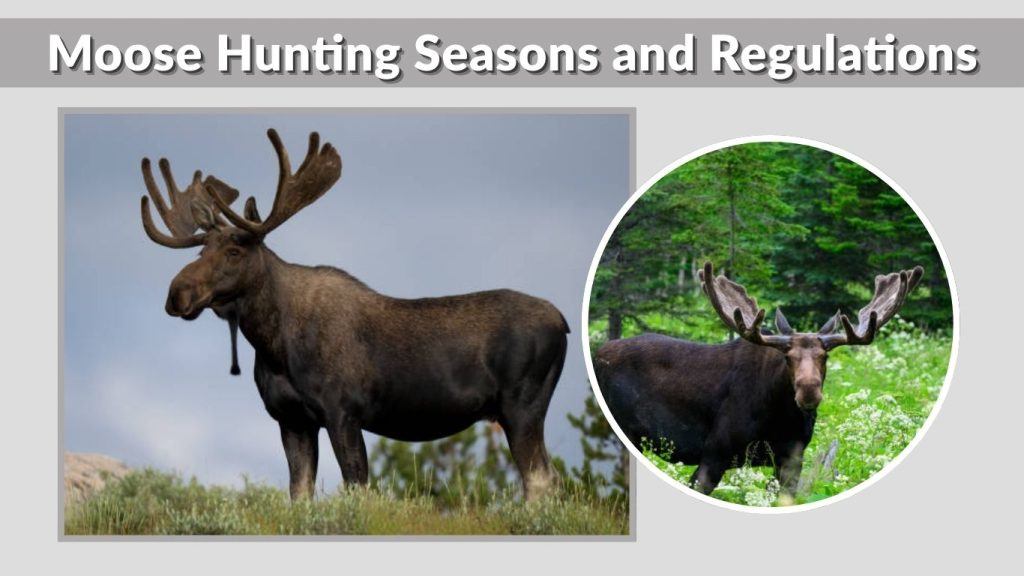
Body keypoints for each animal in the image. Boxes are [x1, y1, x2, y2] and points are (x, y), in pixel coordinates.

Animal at [140, 129, 569, 501]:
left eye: (233, 251)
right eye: (200, 250)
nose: (177, 294)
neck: (275, 345)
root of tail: (563, 323)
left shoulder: (343, 410)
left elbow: (357, 485)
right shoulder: (290, 418)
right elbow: (300, 493)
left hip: (522, 405)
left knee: (541, 479)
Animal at [594, 261, 922, 498]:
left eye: (824, 356)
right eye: (787, 357)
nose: (808, 392)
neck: (778, 417)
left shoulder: (791, 458)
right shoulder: (715, 451)